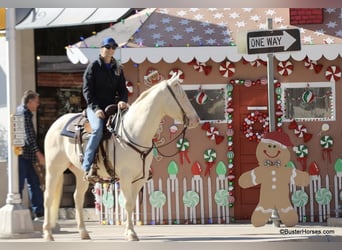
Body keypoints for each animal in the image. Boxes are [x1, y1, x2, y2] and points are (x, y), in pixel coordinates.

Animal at [42, 72, 199, 240]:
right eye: (182, 95)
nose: (196, 120)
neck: (133, 131)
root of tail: (56, 123)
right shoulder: (125, 176)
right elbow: (128, 203)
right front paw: (130, 233)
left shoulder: (139, 178)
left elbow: (130, 204)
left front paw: (129, 231)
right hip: (54, 169)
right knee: (48, 197)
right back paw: (48, 233)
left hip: (79, 172)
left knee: (77, 197)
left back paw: (83, 232)